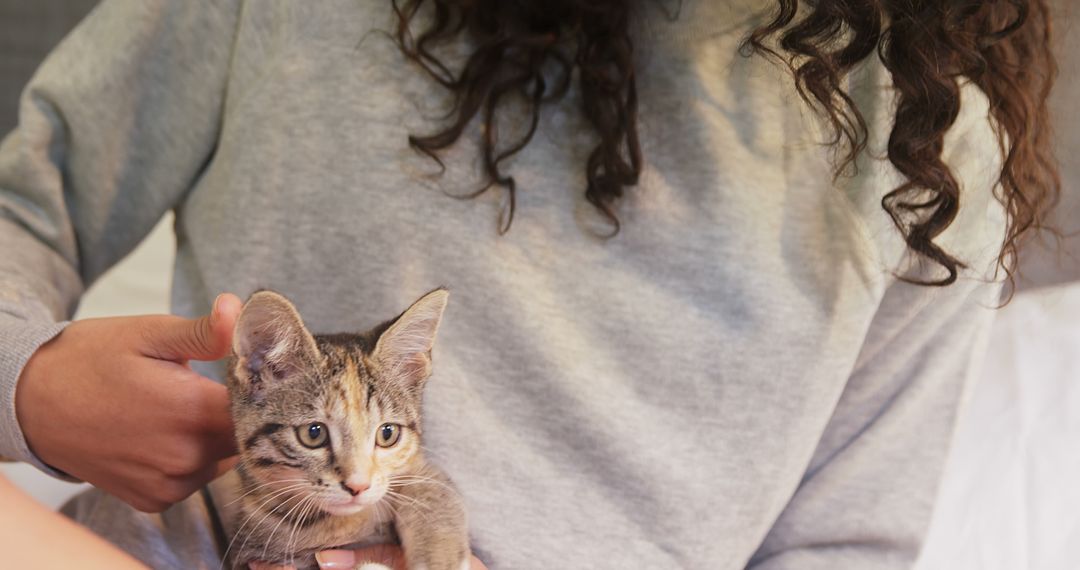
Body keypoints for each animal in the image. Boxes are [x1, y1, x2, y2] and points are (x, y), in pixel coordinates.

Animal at [223, 289, 468, 570]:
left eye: (387, 433)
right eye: (313, 433)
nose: (358, 486)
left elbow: (430, 484)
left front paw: (441, 556)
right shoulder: (252, 555)